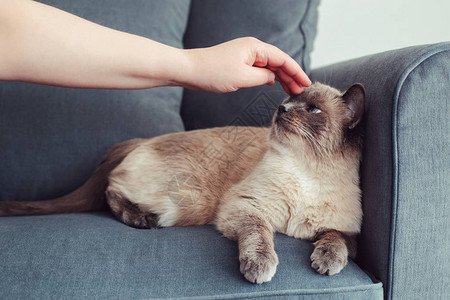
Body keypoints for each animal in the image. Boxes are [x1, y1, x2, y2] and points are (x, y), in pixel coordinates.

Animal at [0, 82, 364, 284]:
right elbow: (260, 238)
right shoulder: (245, 209)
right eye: (288, 101)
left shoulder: (344, 229)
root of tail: (144, 139)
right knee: (111, 191)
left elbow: (337, 241)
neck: (305, 172)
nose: (281, 108)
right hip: (186, 203)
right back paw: (142, 220)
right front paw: (260, 267)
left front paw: (326, 263)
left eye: (313, 110)